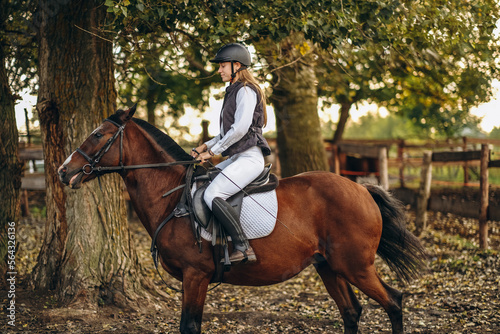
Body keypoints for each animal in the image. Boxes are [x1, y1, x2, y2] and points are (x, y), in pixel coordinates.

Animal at [57, 105, 426, 332]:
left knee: (394, 302)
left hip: (355, 266)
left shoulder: (195, 275)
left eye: (98, 134)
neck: (173, 197)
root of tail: (362, 190)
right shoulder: (192, 279)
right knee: (351, 312)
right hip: (328, 267)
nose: (63, 171)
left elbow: (189, 326)